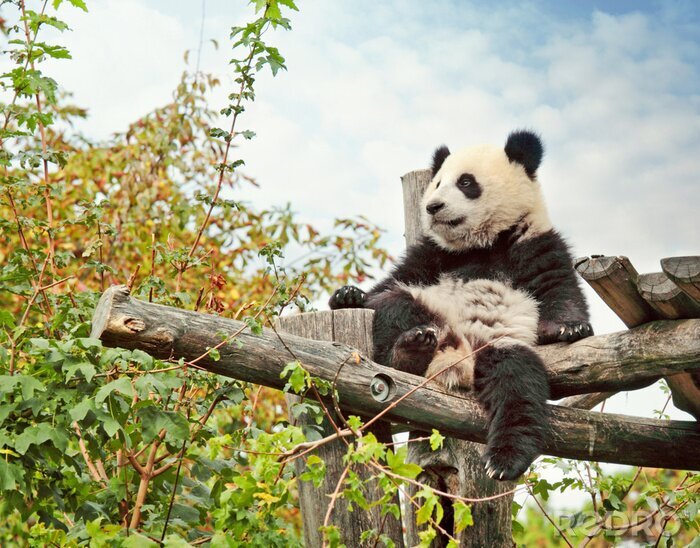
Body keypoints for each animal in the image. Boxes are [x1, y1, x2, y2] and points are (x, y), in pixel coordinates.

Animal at [329, 130, 592, 481]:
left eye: (466, 182)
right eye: (438, 183)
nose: (433, 206)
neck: (482, 243)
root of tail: (458, 359)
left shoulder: (534, 240)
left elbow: (557, 286)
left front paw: (571, 327)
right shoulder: (432, 254)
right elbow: (395, 280)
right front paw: (348, 295)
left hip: (499, 346)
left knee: (518, 385)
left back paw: (504, 460)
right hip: (425, 310)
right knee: (395, 305)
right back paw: (411, 349)